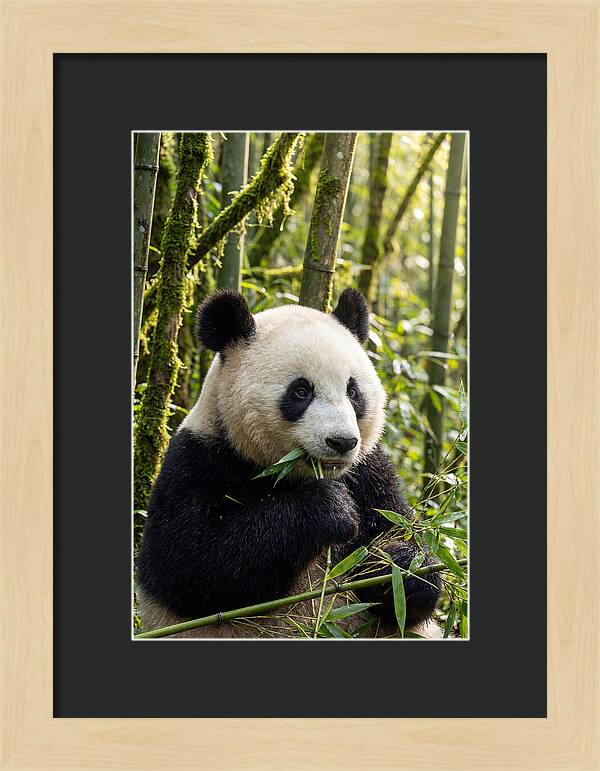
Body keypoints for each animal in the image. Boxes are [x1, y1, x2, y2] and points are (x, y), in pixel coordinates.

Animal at [136, 288, 441, 638]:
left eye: (353, 391)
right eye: (300, 391)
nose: (341, 442)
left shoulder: (369, 472)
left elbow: (404, 540)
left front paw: (395, 568)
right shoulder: (196, 462)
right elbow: (194, 565)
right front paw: (330, 508)